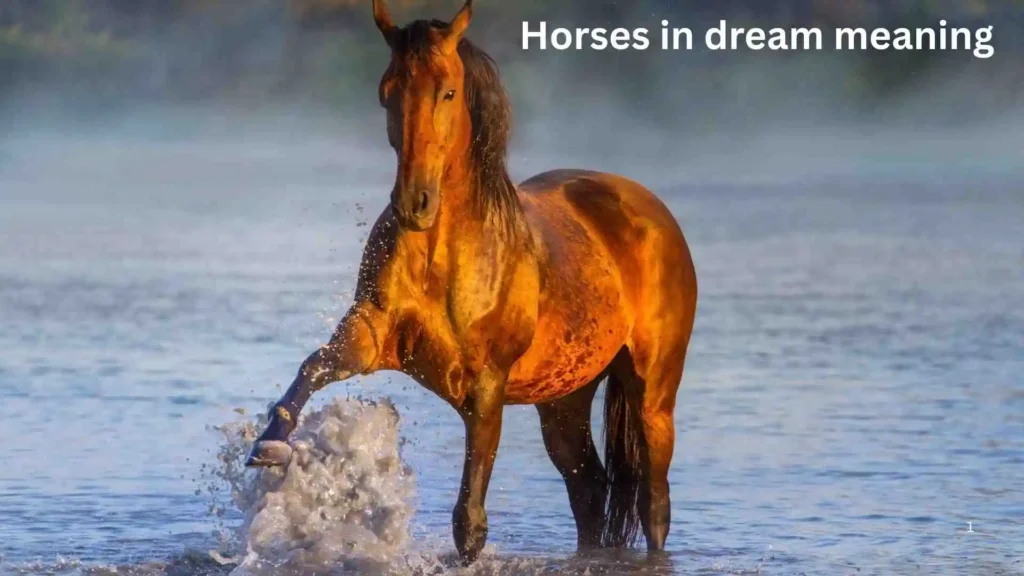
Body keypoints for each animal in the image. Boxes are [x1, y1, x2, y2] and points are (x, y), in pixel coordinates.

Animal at [245, 0, 698, 563]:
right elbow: (313, 367)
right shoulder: (371, 334)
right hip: (564, 398)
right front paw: (269, 444)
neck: (443, 257)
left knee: (653, 502)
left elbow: (470, 522)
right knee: (590, 490)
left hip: (652, 388)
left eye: (448, 91)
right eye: (387, 90)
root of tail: (647, 208)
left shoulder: (485, 387)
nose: (413, 203)